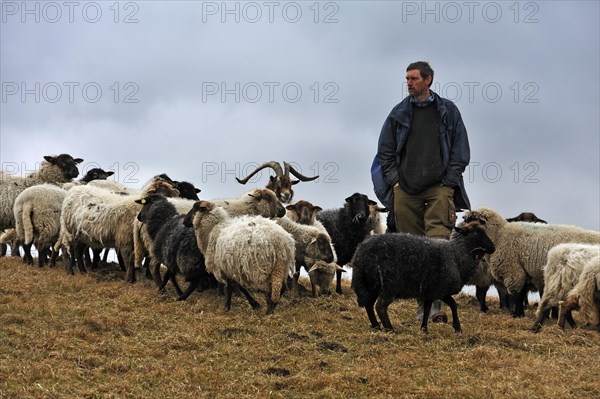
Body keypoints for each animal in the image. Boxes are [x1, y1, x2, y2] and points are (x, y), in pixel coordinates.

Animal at [350, 222, 494, 334]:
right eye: (475, 233)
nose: (493, 247)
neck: (456, 254)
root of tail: (360, 253)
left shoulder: (430, 291)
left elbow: (427, 309)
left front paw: (424, 329)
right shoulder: (440, 289)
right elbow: (453, 304)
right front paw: (457, 328)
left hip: (369, 284)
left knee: (368, 305)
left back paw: (376, 327)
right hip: (389, 284)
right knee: (380, 307)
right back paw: (390, 329)